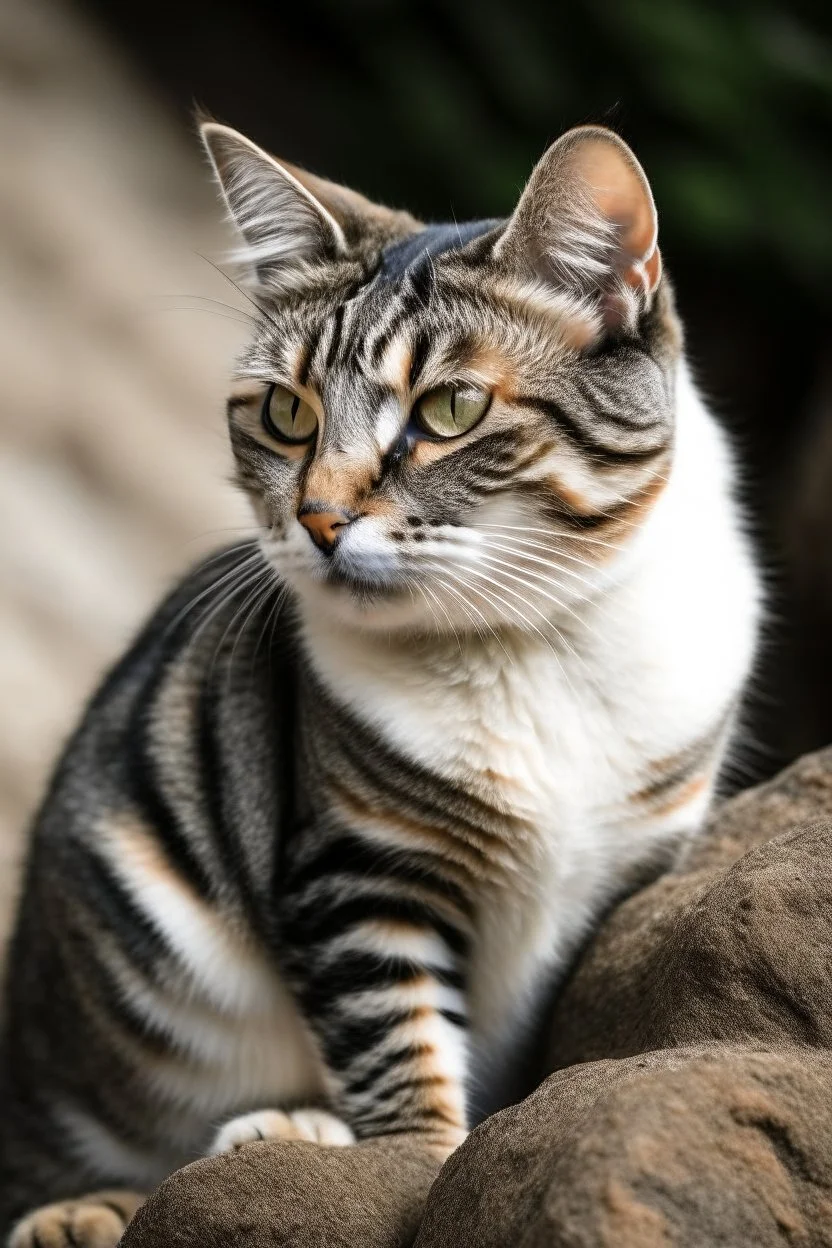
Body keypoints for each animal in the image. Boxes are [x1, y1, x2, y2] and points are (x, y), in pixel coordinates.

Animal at [0, 119, 758, 1248]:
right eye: (284, 411)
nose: (317, 518)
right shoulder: (357, 869)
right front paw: (419, 1162)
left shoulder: (629, 865)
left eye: (450, 408)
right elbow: (401, 1049)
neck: (527, 639)